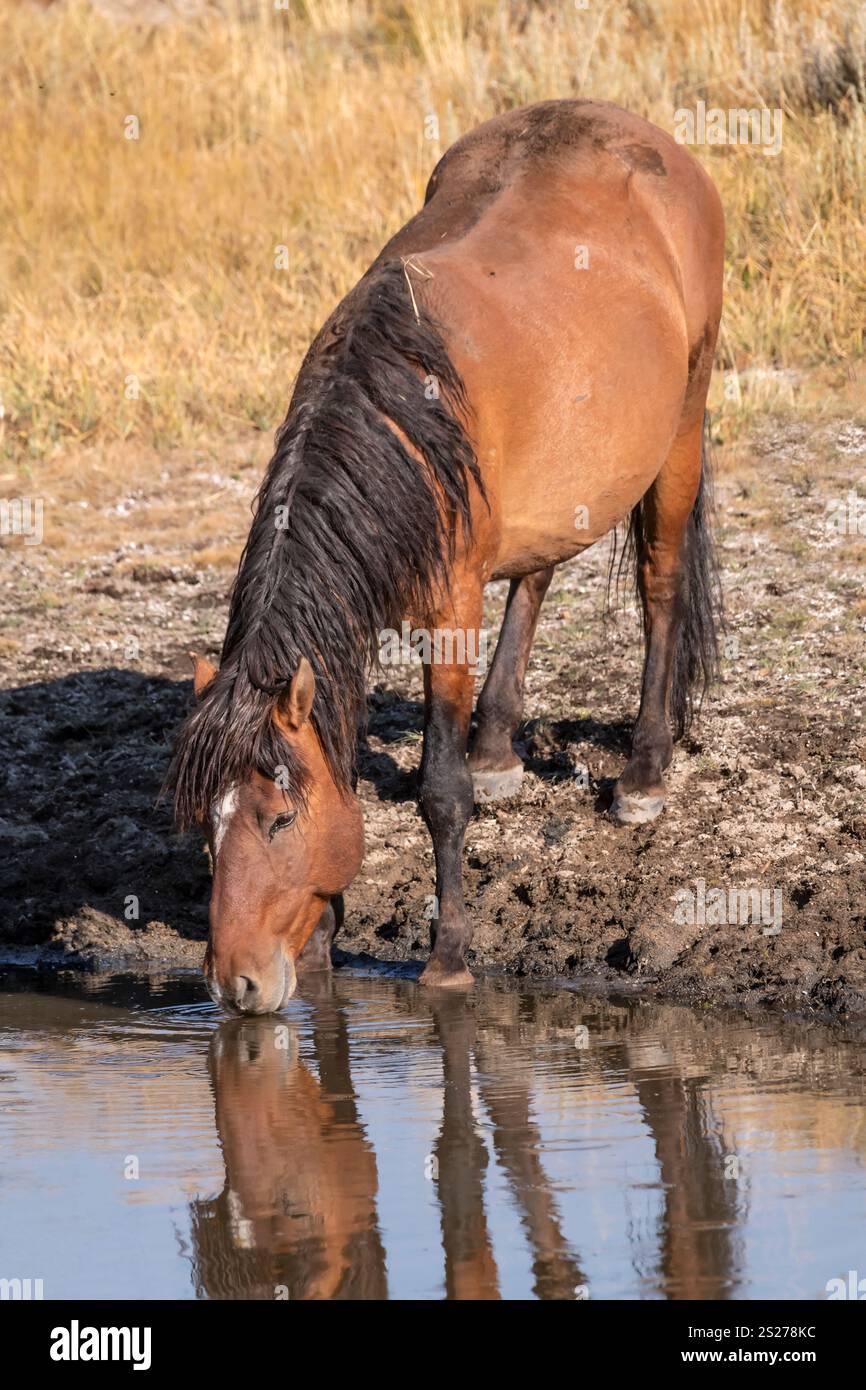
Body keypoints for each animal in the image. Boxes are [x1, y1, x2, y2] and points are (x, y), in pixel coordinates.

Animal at [168, 99, 724, 1015]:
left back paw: (643, 772)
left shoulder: (450, 606)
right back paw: (497, 747)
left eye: (278, 820)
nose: (237, 986)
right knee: (537, 574)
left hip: (680, 430)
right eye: (204, 828)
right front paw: (324, 942)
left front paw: (449, 956)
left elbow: (438, 790)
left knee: (661, 583)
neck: (397, 407)